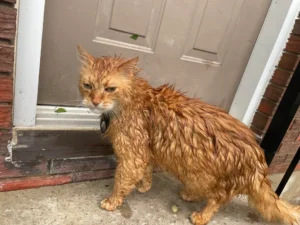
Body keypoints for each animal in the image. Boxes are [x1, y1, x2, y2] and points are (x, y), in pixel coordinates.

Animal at [77, 46, 300, 225]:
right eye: (88, 86)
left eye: (110, 88)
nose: (95, 101)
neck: (131, 101)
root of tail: (258, 156)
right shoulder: (145, 151)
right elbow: (146, 172)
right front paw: (144, 186)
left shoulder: (133, 156)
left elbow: (121, 181)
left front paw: (112, 201)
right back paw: (190, 195)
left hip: (201, 173)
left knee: (218, 199)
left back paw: (201, 215)